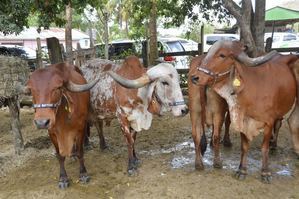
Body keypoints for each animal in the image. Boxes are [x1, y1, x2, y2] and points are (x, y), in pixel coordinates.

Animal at [191, 40, 299, 183]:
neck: (253, 87)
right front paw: (242, 170)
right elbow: (244, 146)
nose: (195, 78)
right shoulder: (243, 120)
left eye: (222, 55)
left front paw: (265, 172)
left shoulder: (268, 121)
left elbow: (264, 147)